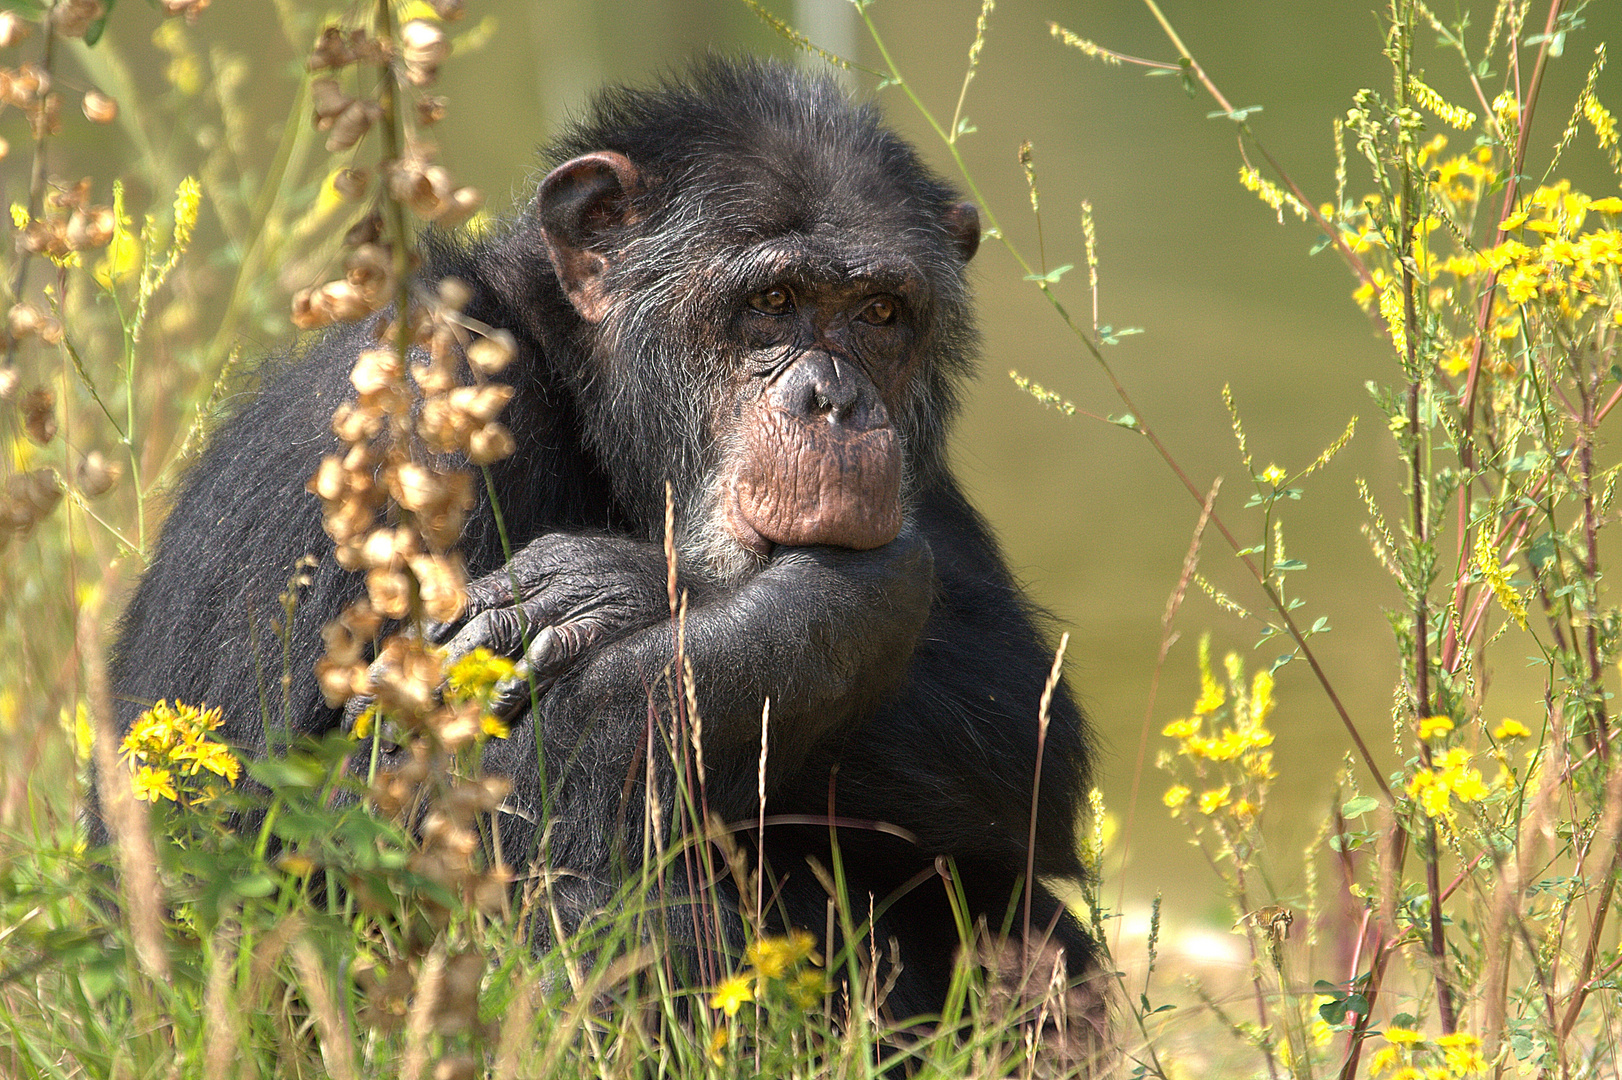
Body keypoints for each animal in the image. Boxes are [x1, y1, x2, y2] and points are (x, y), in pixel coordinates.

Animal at [107, 56, 1096, 1018]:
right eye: (773, 302)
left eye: (882, 313)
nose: (836, 399)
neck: (575, 388)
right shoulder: (410, 416)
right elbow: (320, 834)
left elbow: (1022, 717)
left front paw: (616, 582)